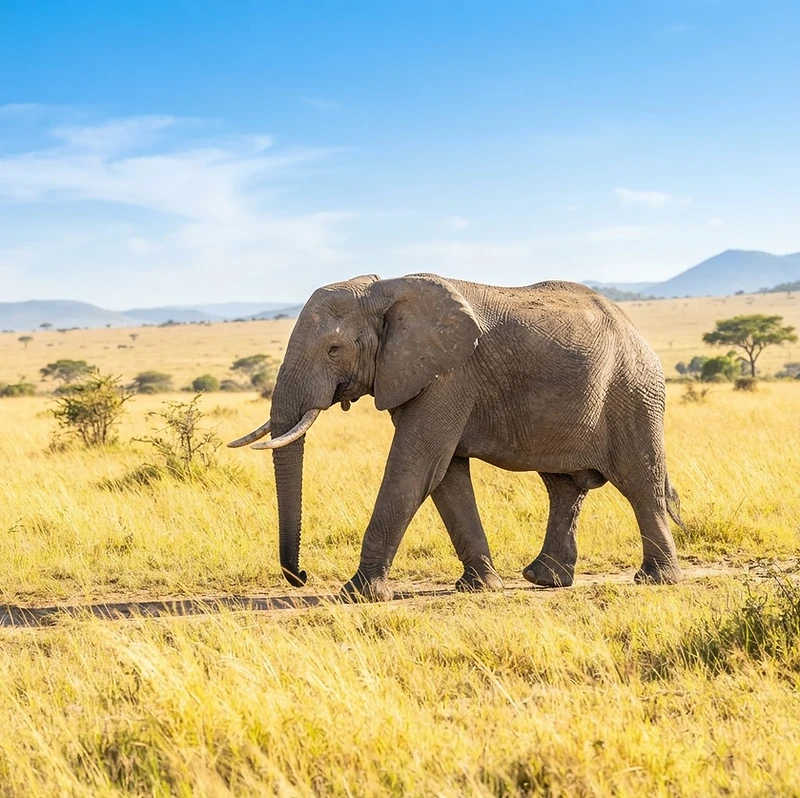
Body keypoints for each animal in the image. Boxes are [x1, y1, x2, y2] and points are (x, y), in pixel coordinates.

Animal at [229, 273, 684, 601]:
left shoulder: (449, 376)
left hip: (633, 392)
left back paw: (655, 580)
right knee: (563, 488)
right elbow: (445, 476)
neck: (383, 291)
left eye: (334, 349)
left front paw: (357, 594)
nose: (302, 575)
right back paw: (545, 579)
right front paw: (479, 587)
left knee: (639, 483)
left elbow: (415, 469)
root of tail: (635, 330)